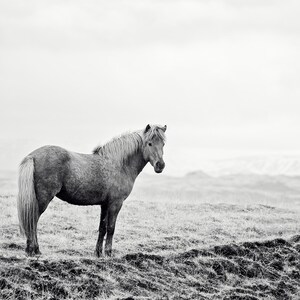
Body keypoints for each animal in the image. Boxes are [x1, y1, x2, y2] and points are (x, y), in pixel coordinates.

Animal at [17, 123, 166, 255]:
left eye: (163, 144)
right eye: (149, 143)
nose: (160, 165)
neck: (119, 164)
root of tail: (32, 156)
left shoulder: (105, 204)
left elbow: (102, 228)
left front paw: (98, 253)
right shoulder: (115, 203)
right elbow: (111, 228)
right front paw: (108, 253)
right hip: (43, 199)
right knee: (33, 220)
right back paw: (33, 250)